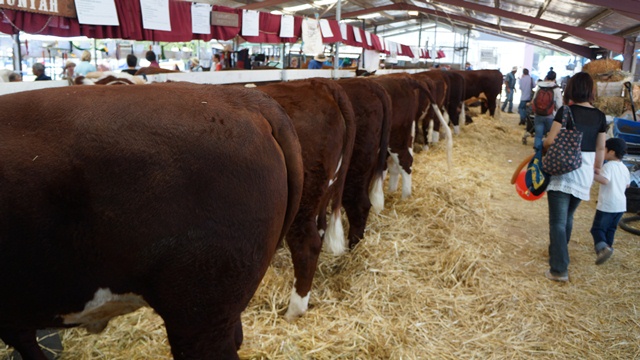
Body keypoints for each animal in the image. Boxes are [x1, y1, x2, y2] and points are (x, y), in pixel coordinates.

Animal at [256, 79, 358, 320]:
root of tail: (322, 85)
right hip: (323, 190)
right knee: (319, 229)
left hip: (304, 196)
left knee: (307, 244)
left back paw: (293, 311)